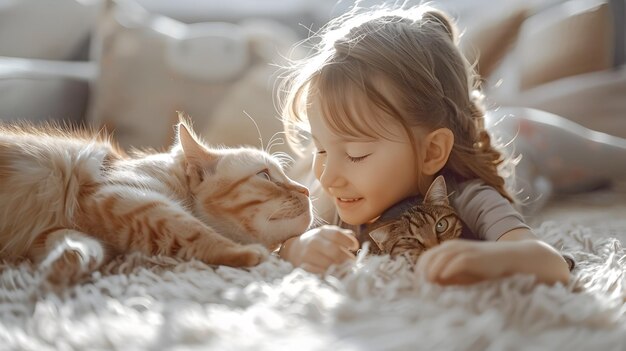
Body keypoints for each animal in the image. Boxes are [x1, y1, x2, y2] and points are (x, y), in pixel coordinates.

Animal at [0, 119, 312, 284]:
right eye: (265, 176)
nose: (307, 190)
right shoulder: (119, 196)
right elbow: (193, 230)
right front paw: (246, 253)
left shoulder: (54, 233)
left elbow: (74, 244)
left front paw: (65, 266)